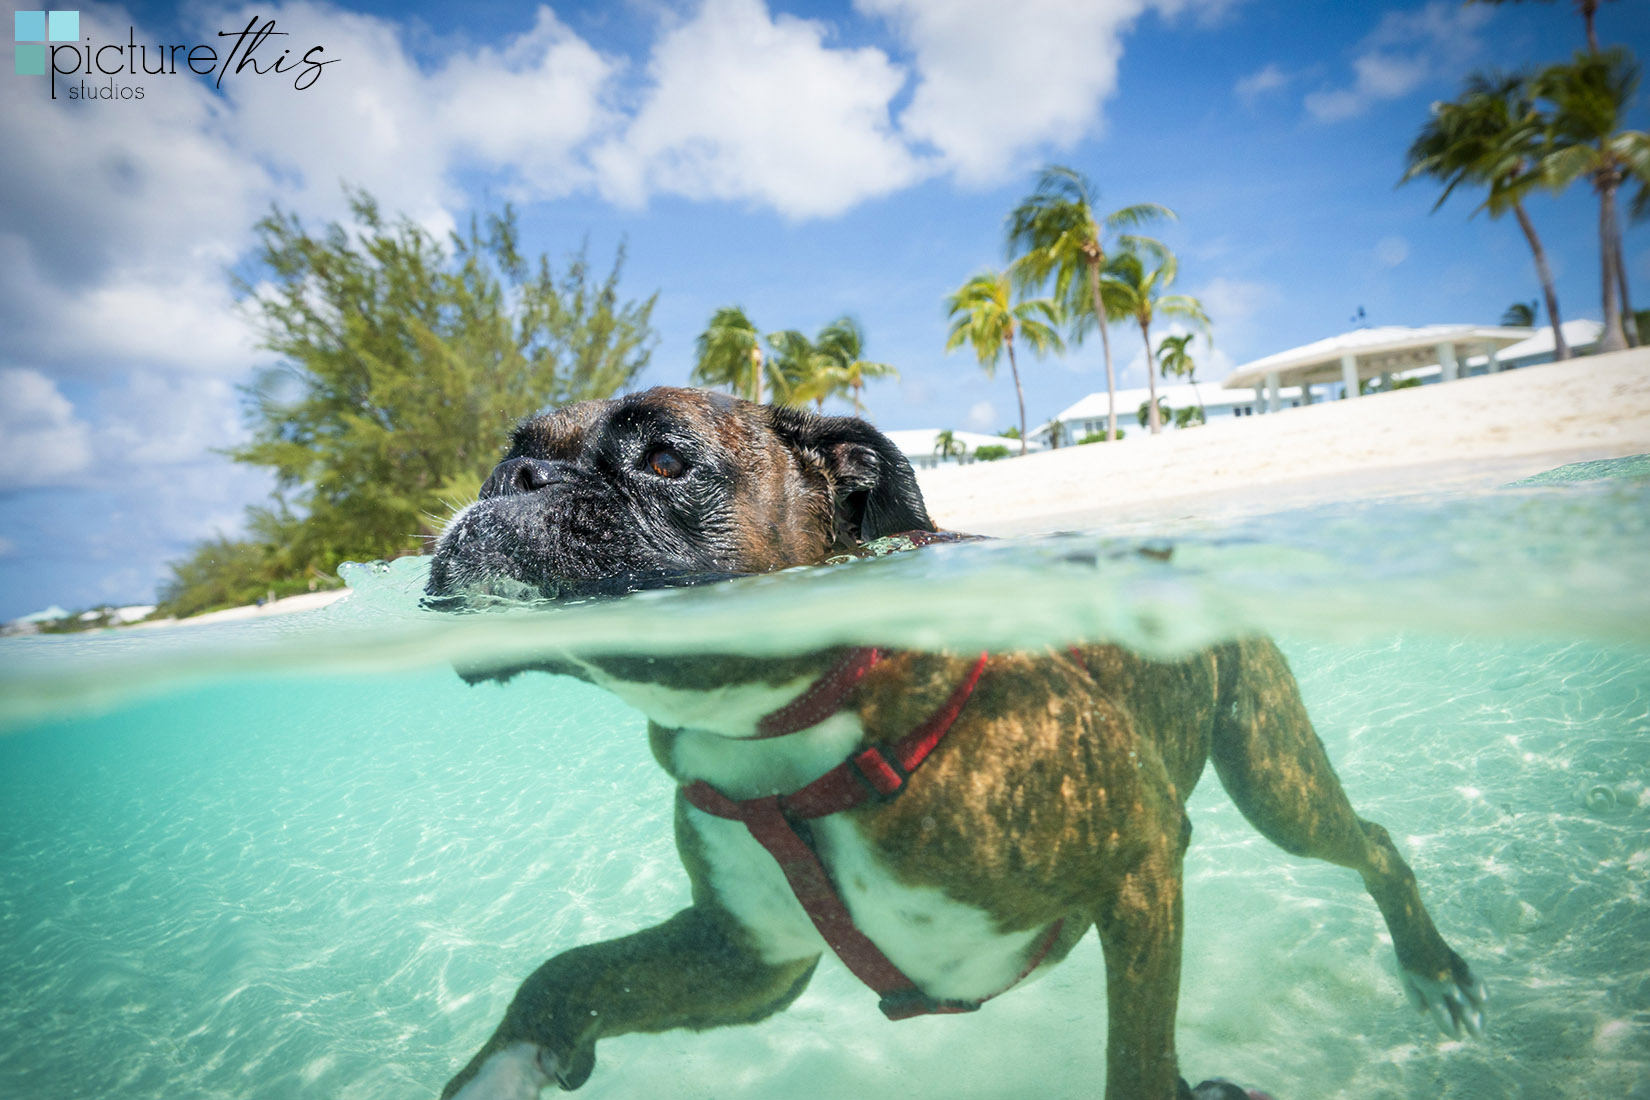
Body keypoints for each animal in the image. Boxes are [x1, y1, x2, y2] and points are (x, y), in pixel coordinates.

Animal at [425, 387, 1485, 1100]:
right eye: (513, 451)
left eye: (663, 462)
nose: (516, 478)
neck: (787, 734)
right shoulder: (746, 960)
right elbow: (566, 975)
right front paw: (501, 1071)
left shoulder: (1144, 867)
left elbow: (1138, 1064)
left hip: (1270, 775)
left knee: (1371, 844)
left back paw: (1435, 974)